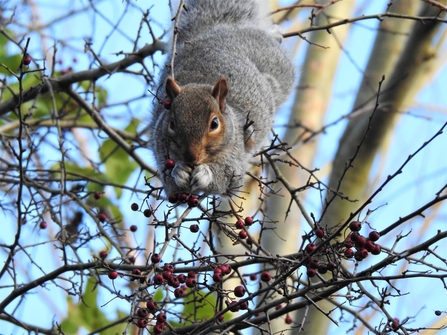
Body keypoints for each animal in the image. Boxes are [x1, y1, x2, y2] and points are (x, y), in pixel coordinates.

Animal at [151, 0, 298, 198]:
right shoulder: (161, 149)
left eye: (214, 124)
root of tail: (215, 27)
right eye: (172, 124)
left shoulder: (236, 153)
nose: (191, 158)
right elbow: (171, 188)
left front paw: (206, 174)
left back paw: (275, 34)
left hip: (275, 62)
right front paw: (178, 172)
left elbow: (230, 178)